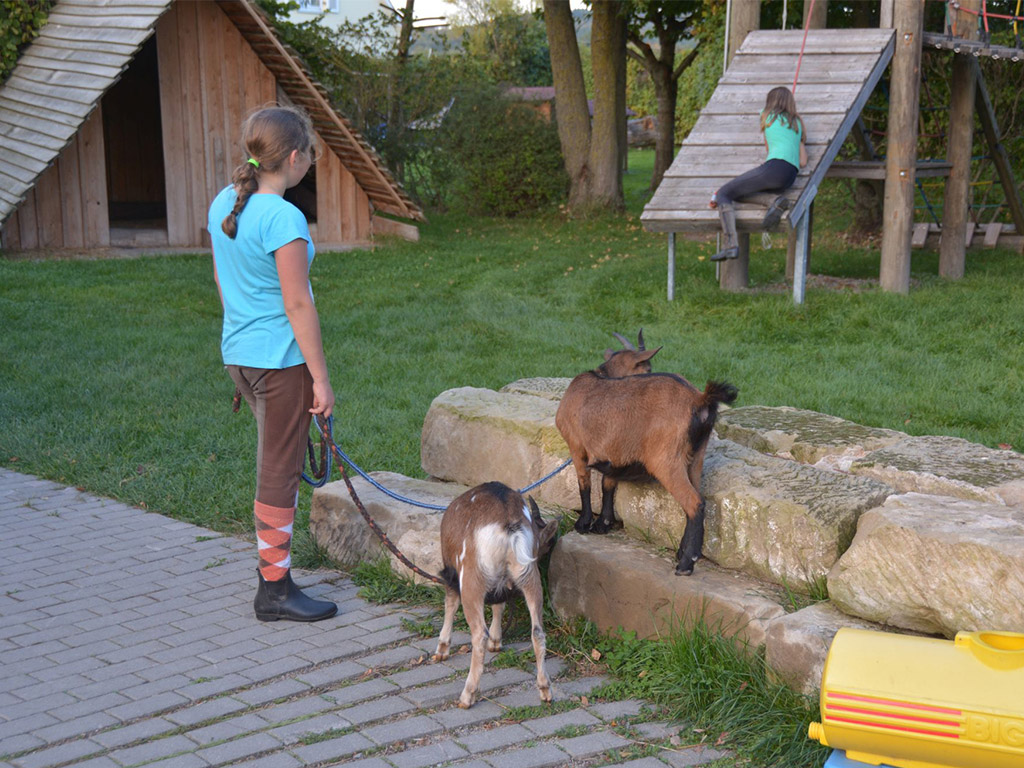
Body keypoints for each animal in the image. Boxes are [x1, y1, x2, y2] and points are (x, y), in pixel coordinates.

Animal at [432, 481, 561, 708]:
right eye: (547, 544)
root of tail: (508, 527)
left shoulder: (451, 572)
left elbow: (450, 603)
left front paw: (442, 649)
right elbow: (499, 604)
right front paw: (496, 640)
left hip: (472, 578)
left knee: (478, 634)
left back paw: (467, 695)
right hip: (528, 575)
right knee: (537, 631)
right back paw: (545, 690)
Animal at [552, 333, 737, 573]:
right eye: (647, 367)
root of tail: (700, 399)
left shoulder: (576, 446)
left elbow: (584, 483)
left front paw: (583, 523)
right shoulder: (614, 453)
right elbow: (607, 484)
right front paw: (603, 524)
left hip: (665, 460)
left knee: (694, 502)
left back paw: (686, 563)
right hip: (696, 458)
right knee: (698, 498)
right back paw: (682, 553)